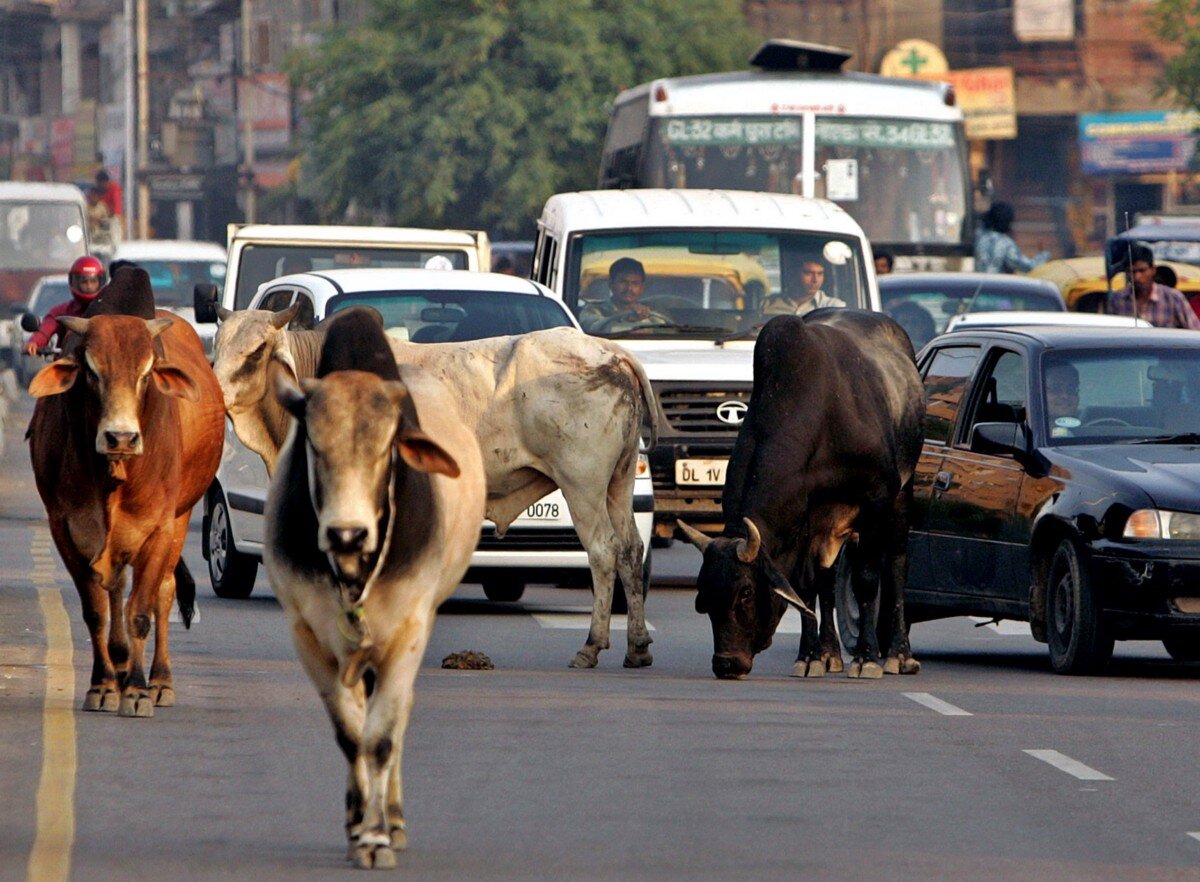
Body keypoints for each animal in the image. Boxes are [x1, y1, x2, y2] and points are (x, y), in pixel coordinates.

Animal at [28, 314, 224, 715]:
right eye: (91, 370)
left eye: (146, 372)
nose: (121, 437)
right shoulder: (64, 529)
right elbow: (96, 611)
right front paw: (103, 685)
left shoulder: (159, 529)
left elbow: (140, 612)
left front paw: (136, 690)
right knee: (116, 588)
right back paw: (118, 667)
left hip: (180, 519)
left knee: (164, 592)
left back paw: (160, 681)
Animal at [681, 309, 921, 681]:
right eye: (703, 594)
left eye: (746, 592)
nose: (726, 664)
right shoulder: (805, 517)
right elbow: (805, 587)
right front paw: (810, 656)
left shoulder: (876, 499)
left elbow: (867, 579)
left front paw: (867, 657)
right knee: (825, 579)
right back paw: (830, 653)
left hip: (901, 496)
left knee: (896, 564)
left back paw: (899, 654)